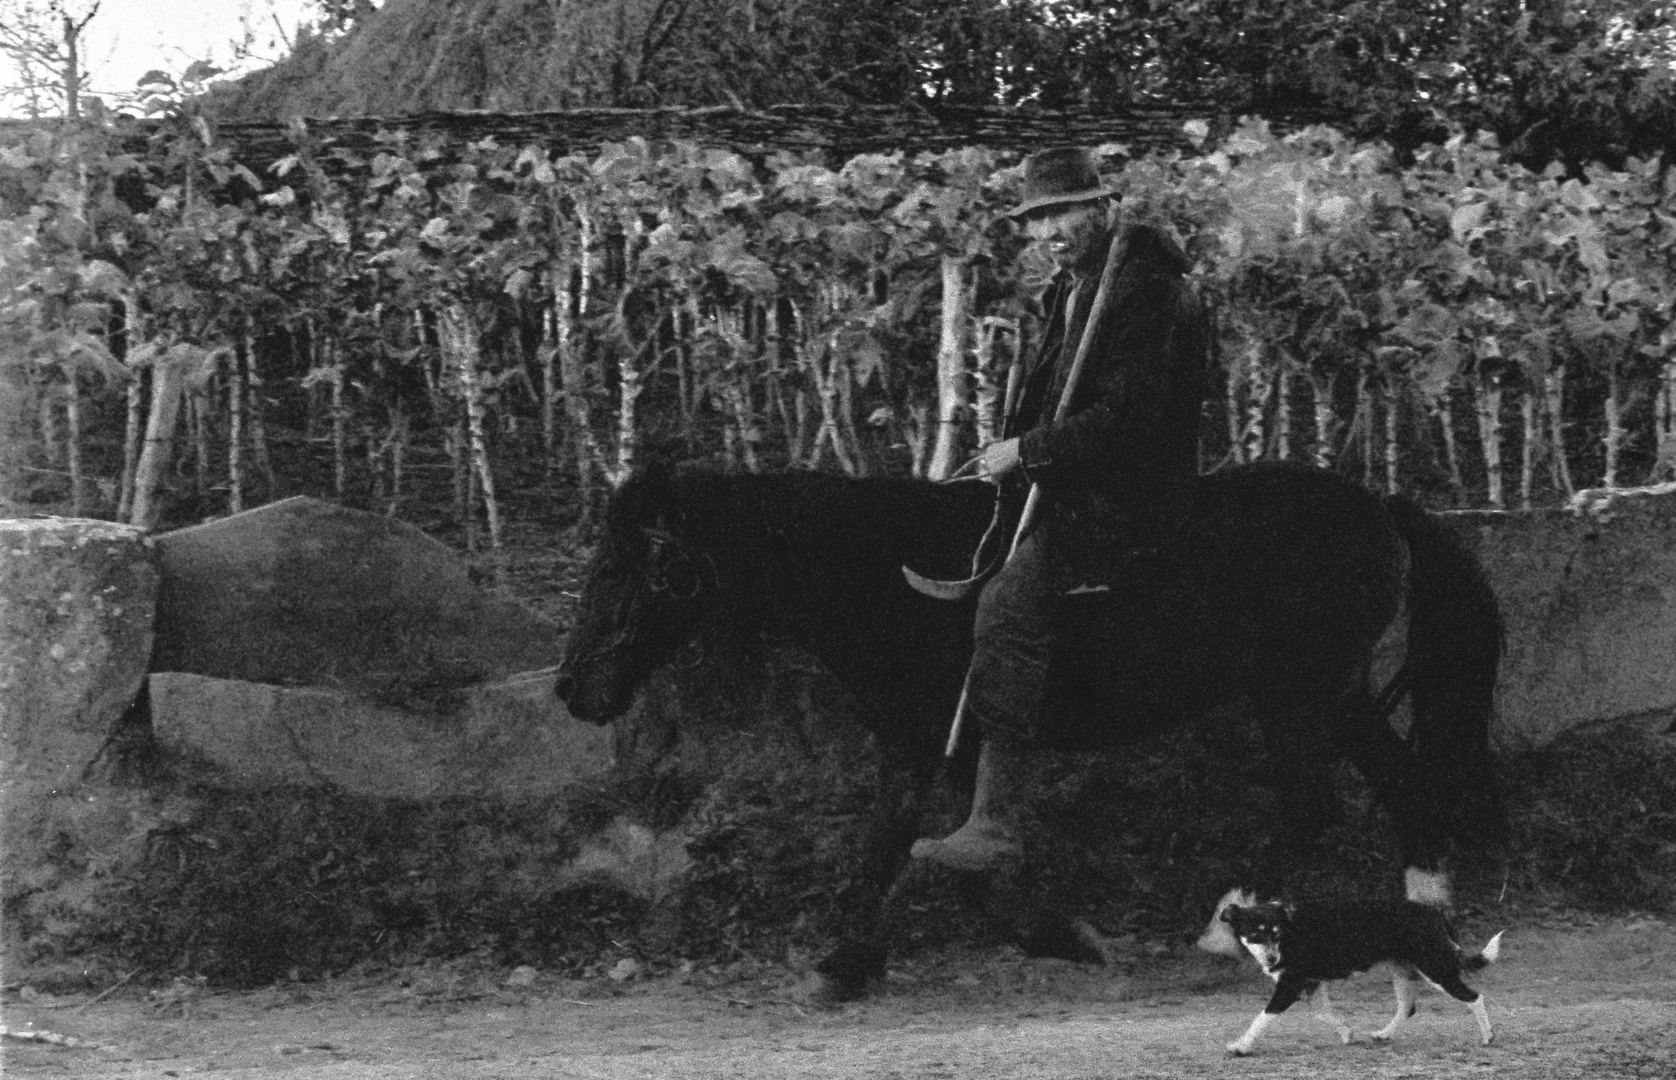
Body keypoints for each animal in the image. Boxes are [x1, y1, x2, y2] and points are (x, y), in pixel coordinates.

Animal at [553, 459, 1508, 999]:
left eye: (627, 568)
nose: (573, 689)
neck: (887, 571)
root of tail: (1380, 505)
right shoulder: (922, 744)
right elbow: (902, 844)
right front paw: (852, 963)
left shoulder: (939, 737)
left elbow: (923, 850)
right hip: (1336, 698)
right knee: (1402, 789)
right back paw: (1423, 922)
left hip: (1298, 696)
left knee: (1315, 805)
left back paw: (1221, 928)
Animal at [1213, 892, 1501, 1053]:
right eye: (1255, 935)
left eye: (1276, 934)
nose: (1273, 961)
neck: (1290, 931)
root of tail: (1436, 913)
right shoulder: (1311, 984)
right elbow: (1323, 1014)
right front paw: (1347, 1033)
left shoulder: (1290, 986)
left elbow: (1261, 1018)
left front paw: (1241, 1046)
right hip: (1402, 971)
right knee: (1407, 1007)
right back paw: (1384, 1034)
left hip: (1436, 969)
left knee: (1474, 997)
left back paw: (1487, 1037)